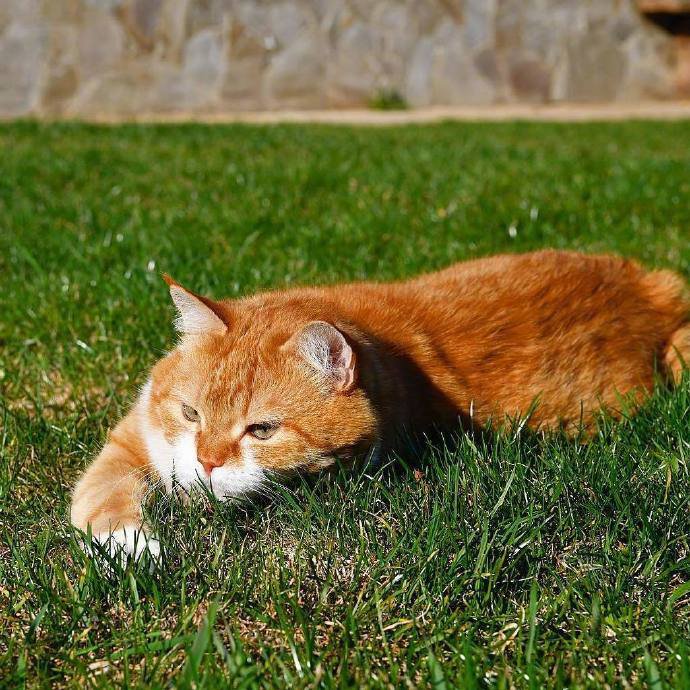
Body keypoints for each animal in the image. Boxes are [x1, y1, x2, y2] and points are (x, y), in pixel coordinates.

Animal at [70, 250, 688, 556]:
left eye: (262, 430)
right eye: (191, 413)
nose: (206, 461)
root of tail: (647, 288)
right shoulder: (131, 442)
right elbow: (102, 494)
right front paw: (131, 546)